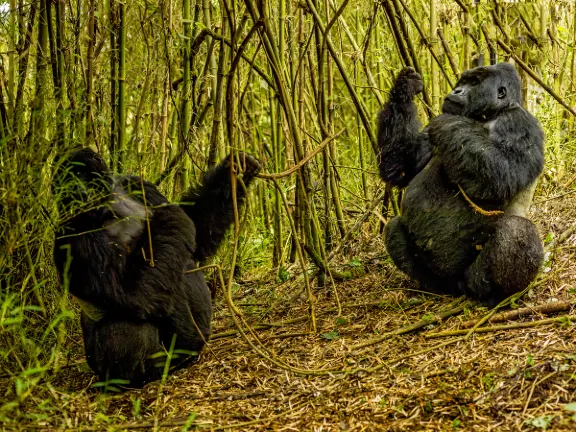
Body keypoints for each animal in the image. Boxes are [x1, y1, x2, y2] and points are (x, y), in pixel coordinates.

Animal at [54, 149, 260, 388]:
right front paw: (168, 215)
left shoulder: (138, 184)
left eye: (81, 175)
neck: (107, 206)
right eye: (68, 181)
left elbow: (196, 231)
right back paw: (146, 374)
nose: (78, 190)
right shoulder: (71, 234)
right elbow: (132, 293)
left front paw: (231, 172)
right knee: (128, 323)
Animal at [378, 63, 544, 308]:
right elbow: (400, 167)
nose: (456, 91)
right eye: (462, 82)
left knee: (515, 230)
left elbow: (503, 175)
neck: (490, 113)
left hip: (472, 279)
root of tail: (457, 286)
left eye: (474, 83)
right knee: (393, 227)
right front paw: (404, 87)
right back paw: (433, 286)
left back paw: (498, 296)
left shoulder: (519, 122)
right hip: (446, 280)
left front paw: (450, 123)